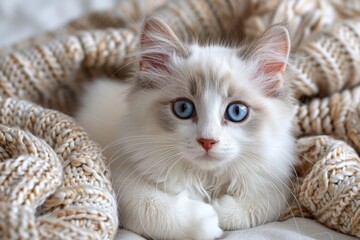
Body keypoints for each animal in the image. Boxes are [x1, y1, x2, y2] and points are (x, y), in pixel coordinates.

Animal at [77, 17, 296, 240]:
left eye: (236, 111)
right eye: (183, 108)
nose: (207, 141)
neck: (205, 178)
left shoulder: (275, 182)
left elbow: (263, 204)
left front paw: (220, 211)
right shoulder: (123, 176)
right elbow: (151, 206)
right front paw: (208, 220)